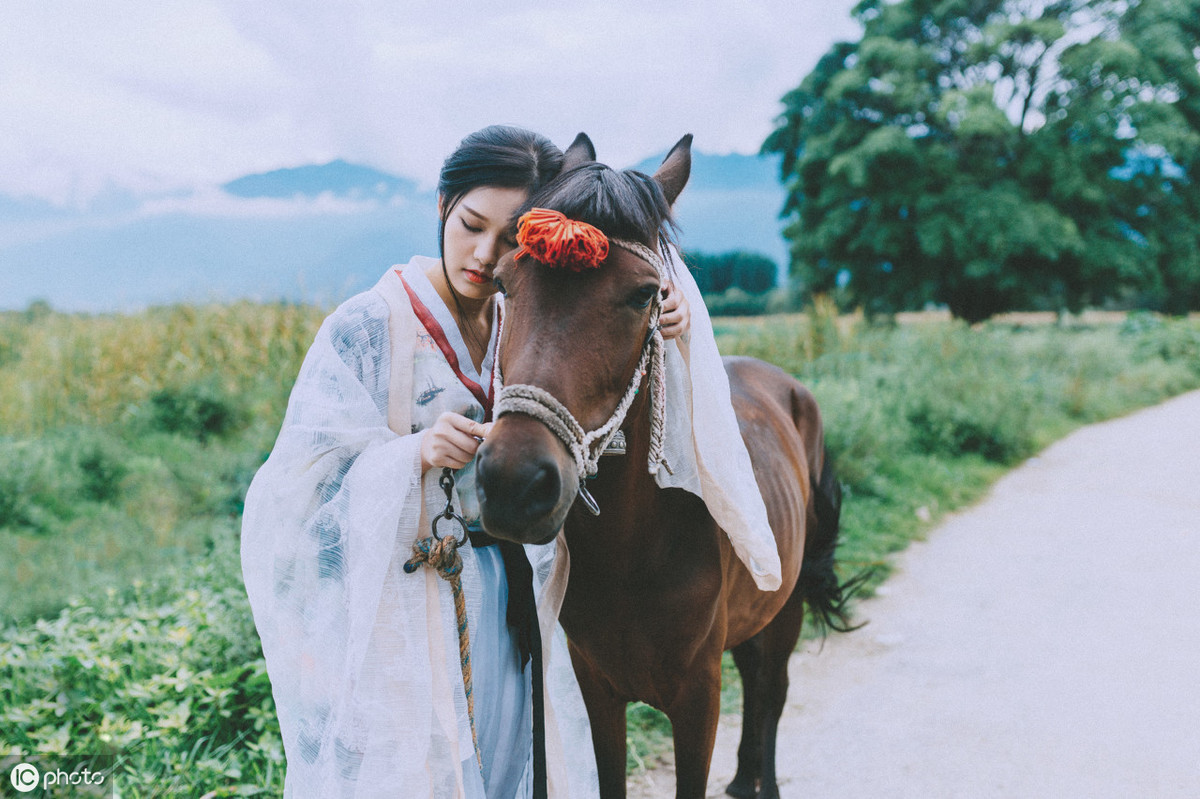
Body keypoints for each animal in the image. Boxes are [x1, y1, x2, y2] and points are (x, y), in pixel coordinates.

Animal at [472, 133, 859, 791]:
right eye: (502, 283)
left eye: (645, 294)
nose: (513, 482)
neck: (635, 549)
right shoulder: (598, 688)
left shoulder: (697, 700)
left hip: (785, 608)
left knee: (772, 691)